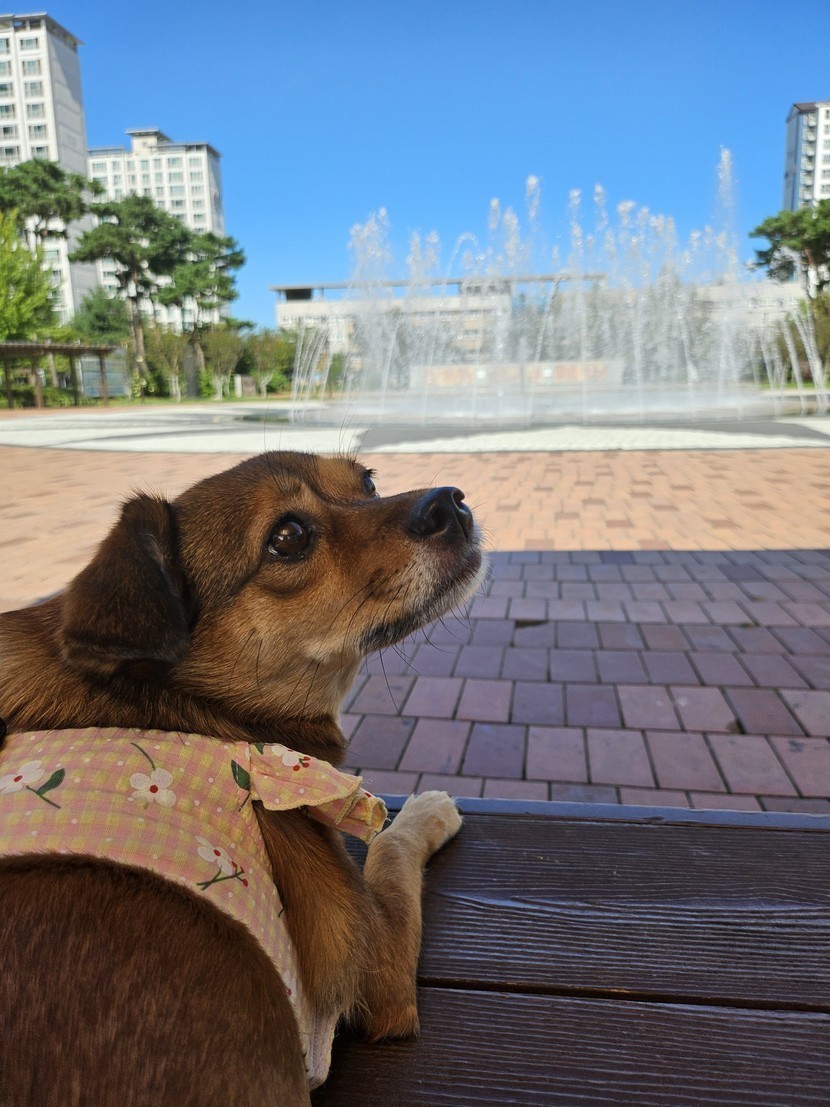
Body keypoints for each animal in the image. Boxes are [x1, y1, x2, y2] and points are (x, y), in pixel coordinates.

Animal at [0, 450, 483, 1106]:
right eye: (288, 537)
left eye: (367, 481)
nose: (450, 502)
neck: (185, 706)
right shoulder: (379, 966)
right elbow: (390, 846)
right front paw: (427, 808)